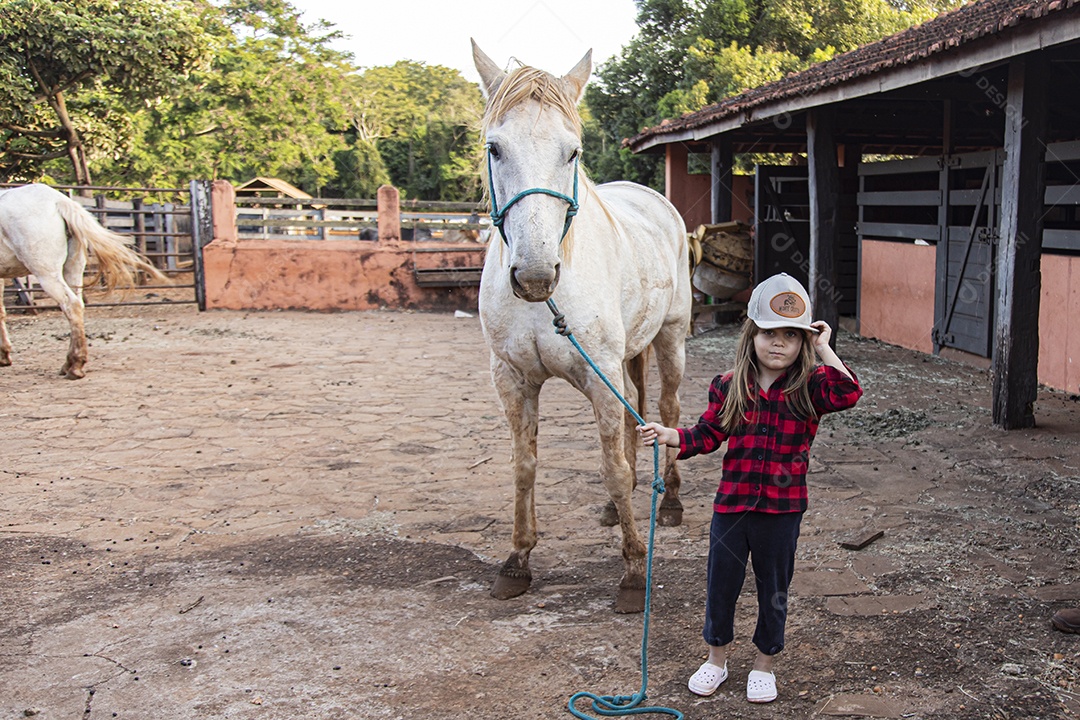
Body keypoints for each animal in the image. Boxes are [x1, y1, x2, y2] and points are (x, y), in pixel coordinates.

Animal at [0, 183, 166, 379]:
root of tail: (59, 201)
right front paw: (4, 355)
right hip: (73, 269)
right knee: (77, 306)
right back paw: (70, 363)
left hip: (48, 274)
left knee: (71, 305)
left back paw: (76, 366)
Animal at [473, 40, 691, 613]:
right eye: (495, 148)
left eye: (572, 151)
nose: (533, 275)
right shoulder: (511, 379)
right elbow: (524, 465)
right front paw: (517, 560)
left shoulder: (600, 375)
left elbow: (612, 467)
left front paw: (634, 572)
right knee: (638, 412)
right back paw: (621, 507)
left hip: (671, 338)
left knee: (668, 410)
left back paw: (671, 500)